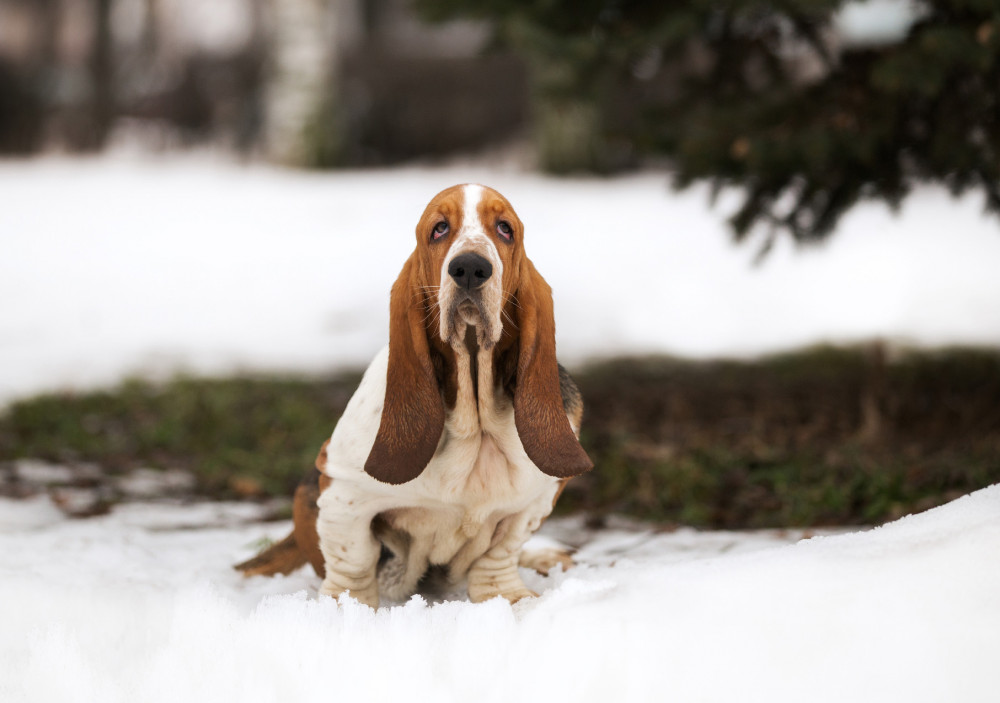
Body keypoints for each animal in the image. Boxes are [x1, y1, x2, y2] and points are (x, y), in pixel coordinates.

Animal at [234, 184, 592, 608]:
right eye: (439, 229)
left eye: (505, 229)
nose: (469, 267)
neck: (475, 418)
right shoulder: (343, 490)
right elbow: (353, 559)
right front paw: (346, 606)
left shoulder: (537, 498)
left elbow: (501, 551)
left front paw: (507, 598)